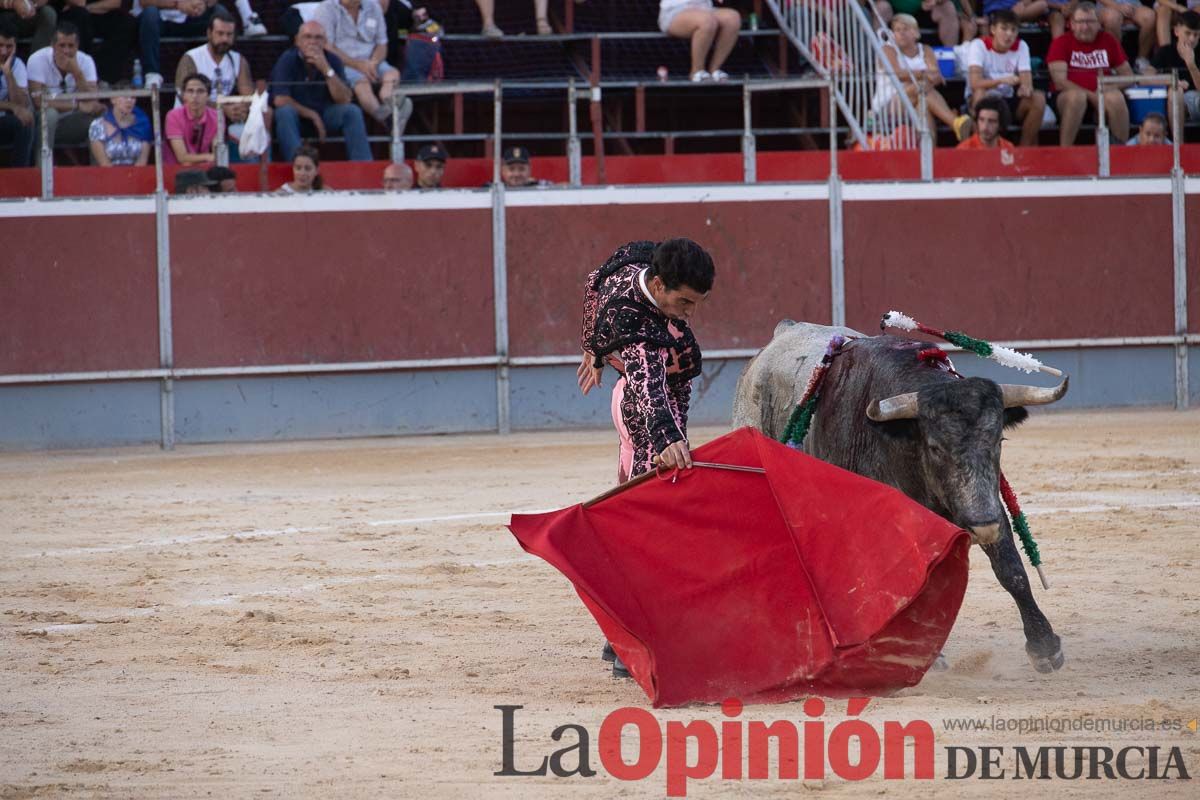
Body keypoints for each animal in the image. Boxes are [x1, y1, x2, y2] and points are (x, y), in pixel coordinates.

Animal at [729, 321, 1070, 671]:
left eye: (998, 440)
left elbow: (1011, 569)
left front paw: (1044, 646)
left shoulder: (983, 505)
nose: (982, 528)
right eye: (934, 447)